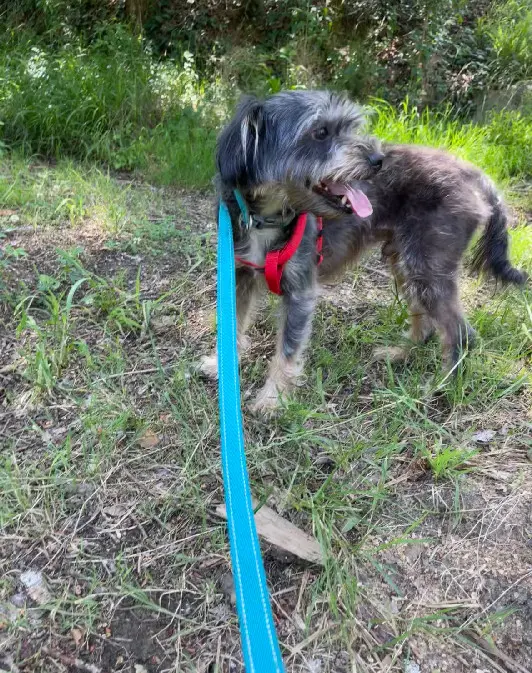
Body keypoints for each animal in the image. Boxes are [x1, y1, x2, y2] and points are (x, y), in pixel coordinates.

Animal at [201, 92, 528, 412]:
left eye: (349, 127)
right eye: (320, 132)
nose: (377, 159)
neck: (266, 217)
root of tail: (472, 172)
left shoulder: (300, 292)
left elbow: (287, 349)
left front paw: (272, 398)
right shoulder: (239, 276)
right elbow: (233, 324)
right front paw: (221, 365)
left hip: (428, 268)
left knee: (460, 333)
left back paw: (440, 387)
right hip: (407, 265)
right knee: (426, 325)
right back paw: (399, 353)